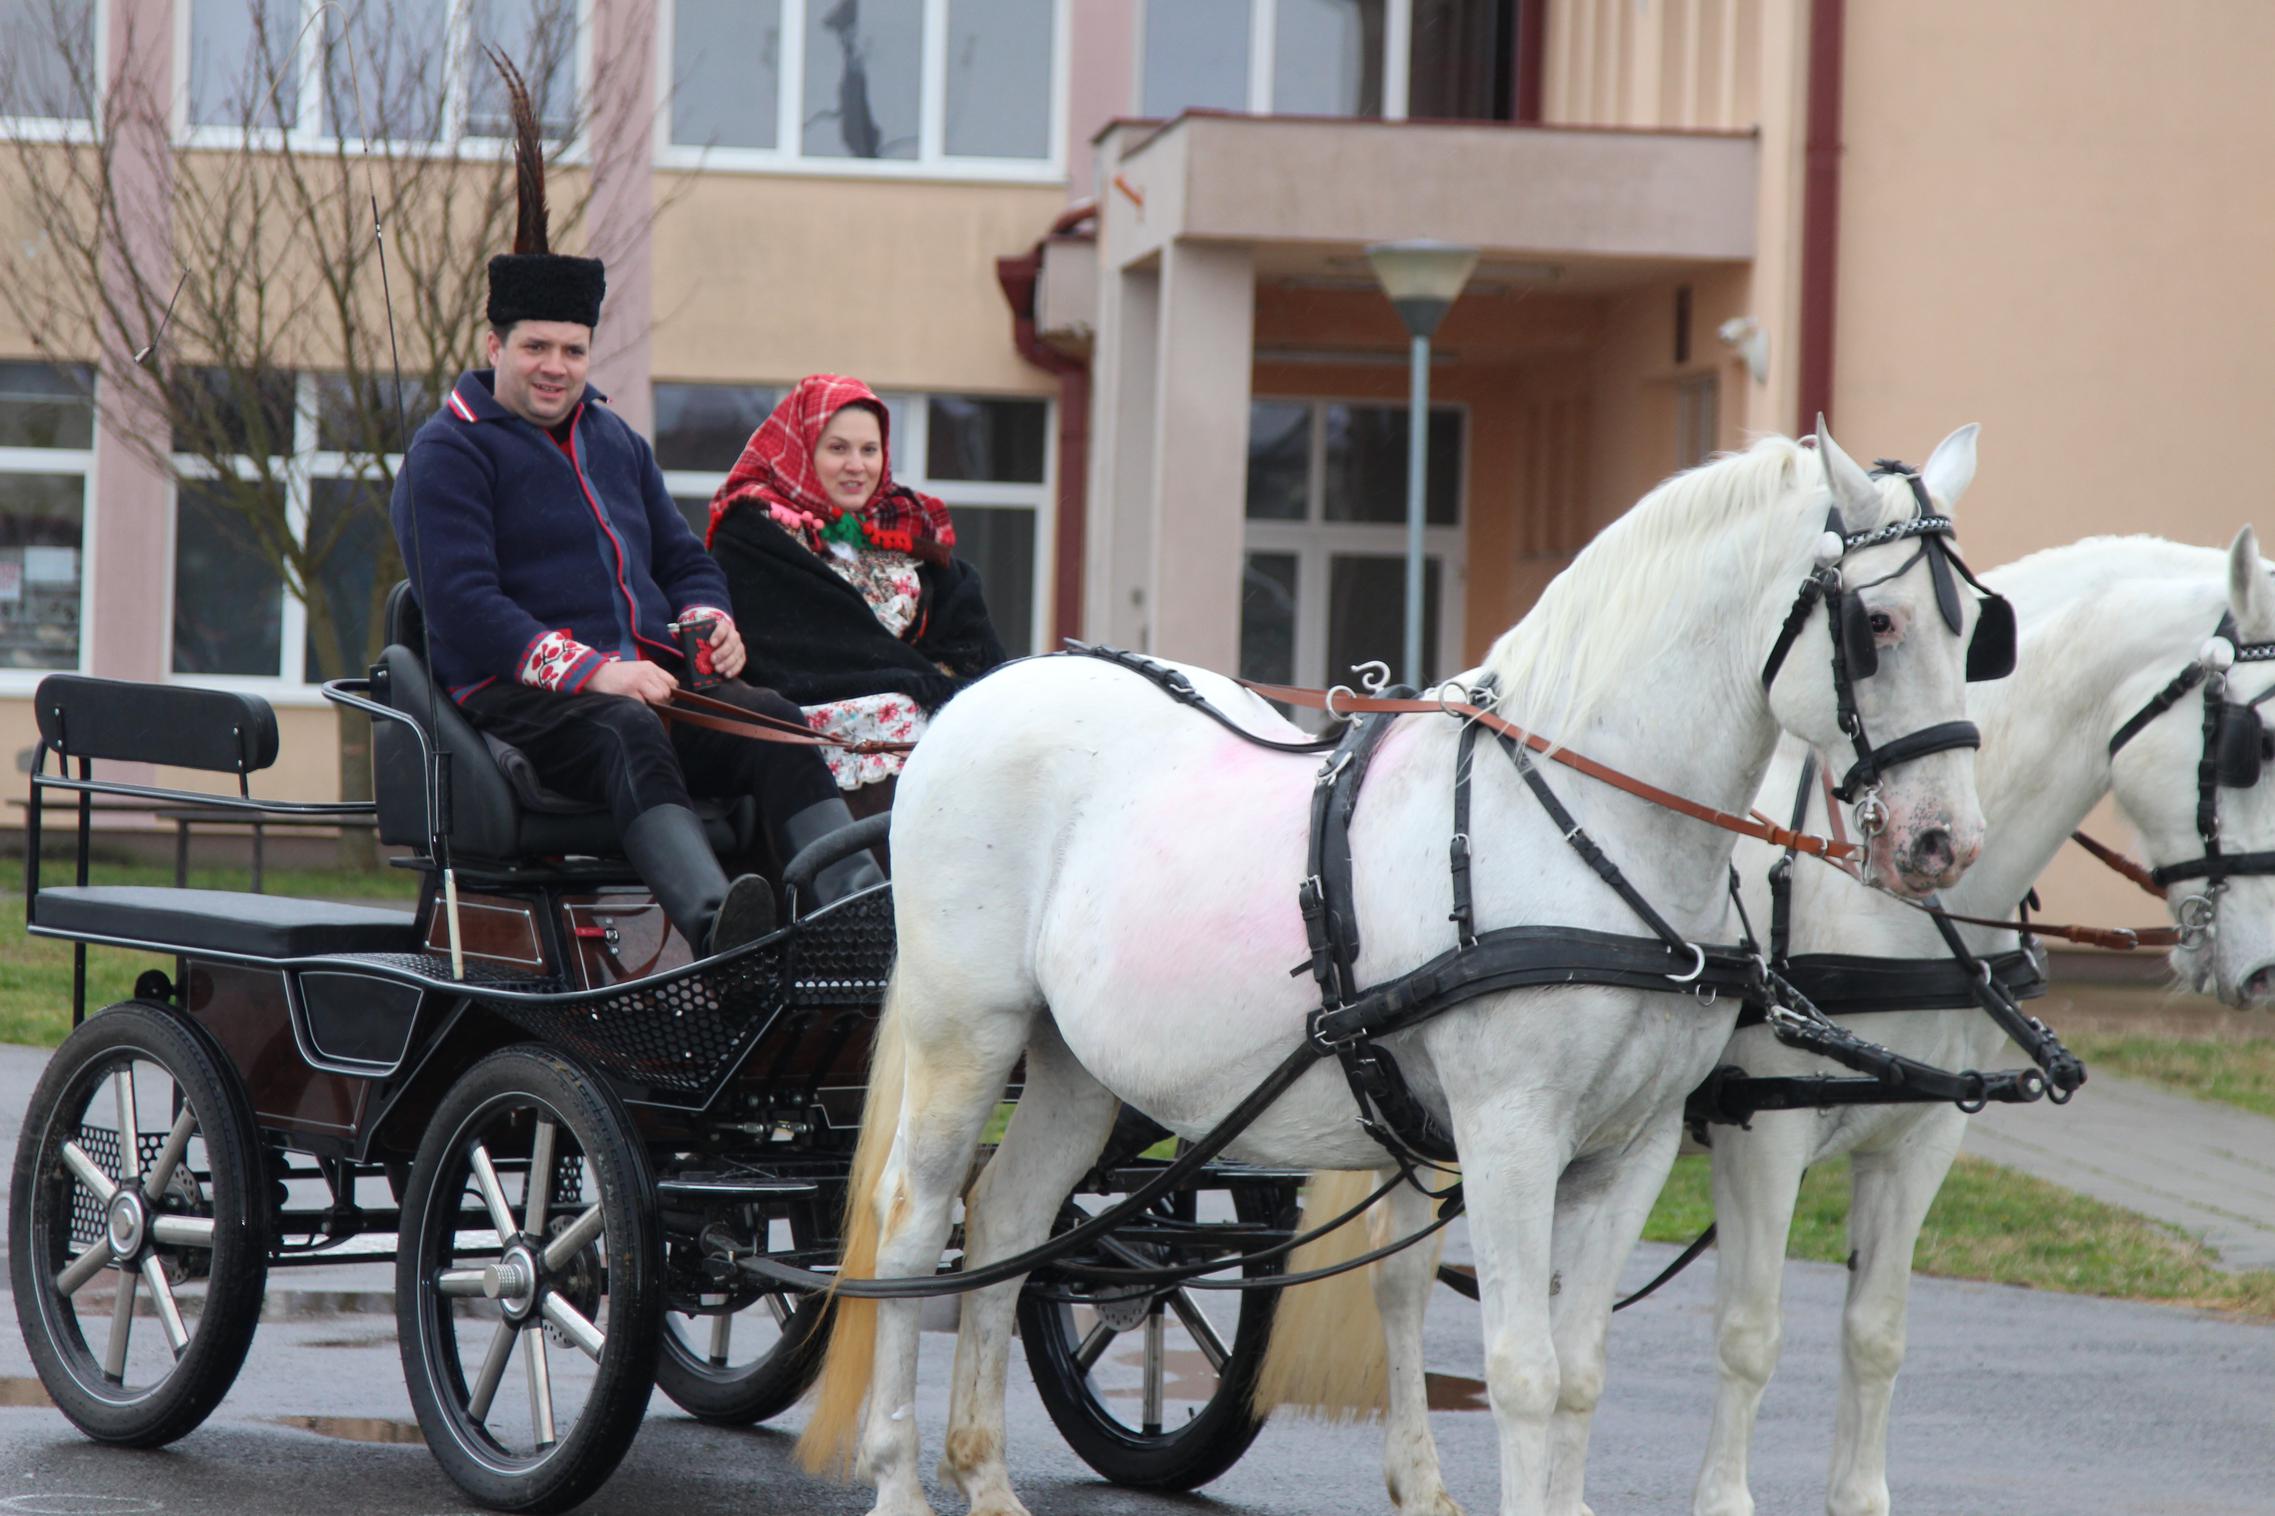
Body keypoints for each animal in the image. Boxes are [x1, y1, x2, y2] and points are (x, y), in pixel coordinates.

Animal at [802, 422, 1993, 1516]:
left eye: (1975, 628)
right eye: (1874, 623)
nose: (1946, 842)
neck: (1585, 821)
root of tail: (993, 692)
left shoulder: (1633, 1149)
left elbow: (1579, 1374)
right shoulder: (1509, 1133)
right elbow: (1522, 1371)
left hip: (1076, 1065)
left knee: (1007, 1223)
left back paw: (985, 1474)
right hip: (968, 1031)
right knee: (916, 1224)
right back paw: (900, 1476)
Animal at [1689, 527, 2275, 1516]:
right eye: (2250, 748)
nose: (2268, 969)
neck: (1875, 895)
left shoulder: (1918, 1138)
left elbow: (1875, 1334)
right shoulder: (1757, 1133)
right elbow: (1745, 1333)